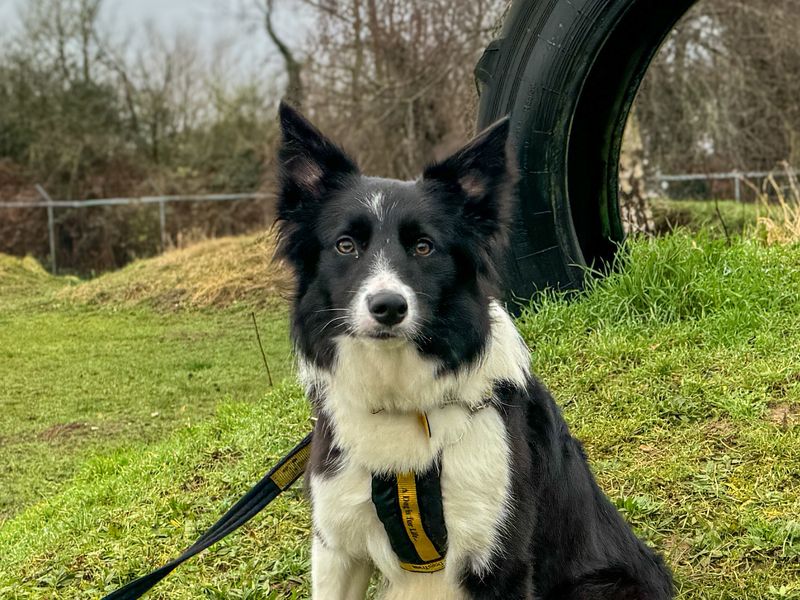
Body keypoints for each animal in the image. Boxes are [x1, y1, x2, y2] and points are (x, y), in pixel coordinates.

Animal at [272, 104, 672, 600]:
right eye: (346, 245)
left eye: (424, 247)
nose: (389, 308)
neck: (404, 402)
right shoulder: (337, 547)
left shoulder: (498, 557)